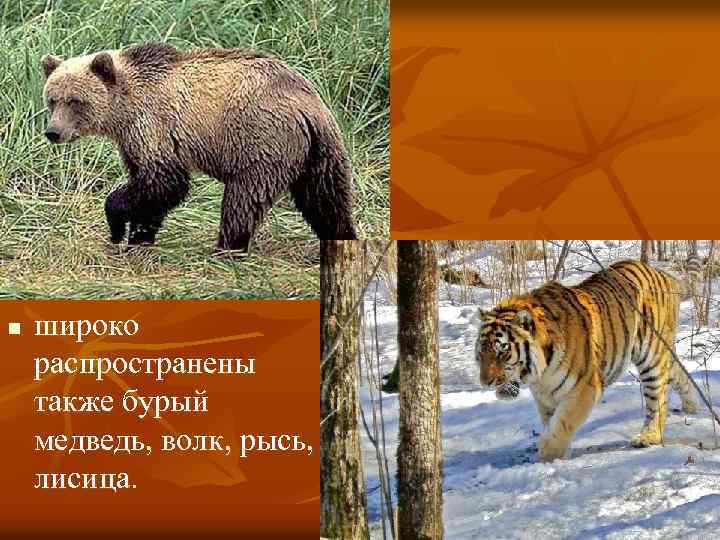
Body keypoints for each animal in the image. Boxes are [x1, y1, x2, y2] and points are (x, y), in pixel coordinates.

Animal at [40, 42, 358, 251]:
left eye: (76, 101)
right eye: (52, 99)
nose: (53, 132)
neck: (125, 110)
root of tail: (309, 104)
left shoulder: (154, 126)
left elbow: (165, 182)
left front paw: (118, 227)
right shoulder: (132, 142)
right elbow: (149, 188)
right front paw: (140, 237)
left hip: (262, 141)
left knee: (243, 199)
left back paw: (227, 247)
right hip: (321, 151)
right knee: (327, 198)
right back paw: (343, 237)